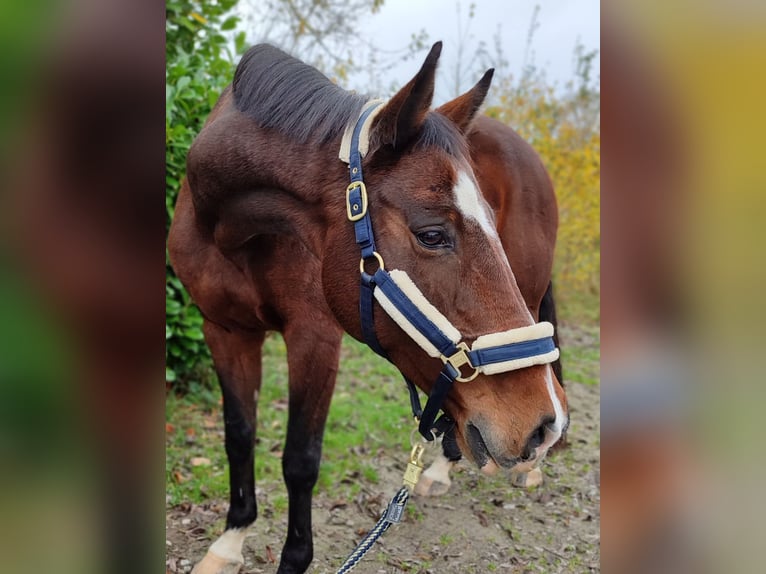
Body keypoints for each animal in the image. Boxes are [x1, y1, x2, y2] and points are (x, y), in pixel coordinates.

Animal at [170, 41, 568, 574]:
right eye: (432, 235)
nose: (543, 425)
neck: (232, 228)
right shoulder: (224, 329)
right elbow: (238, 436)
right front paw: (230, 543)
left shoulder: (314, 337)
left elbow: (300, 459)